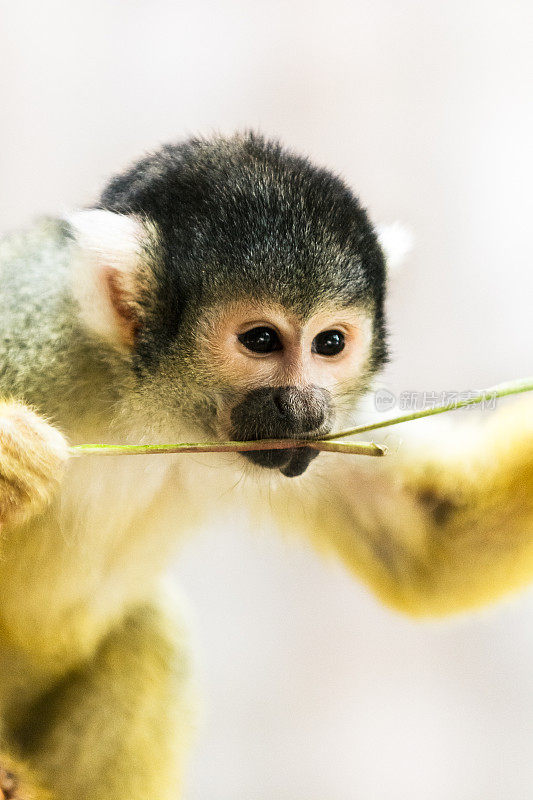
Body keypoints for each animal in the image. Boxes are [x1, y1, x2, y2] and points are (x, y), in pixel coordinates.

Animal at [0, 134, 528, 796]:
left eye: (330, 343)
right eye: (260, 340)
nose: (303, 408)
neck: (145, 408)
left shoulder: (325, 437)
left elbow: (434, 539)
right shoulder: (36, 336)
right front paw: (8, 458)